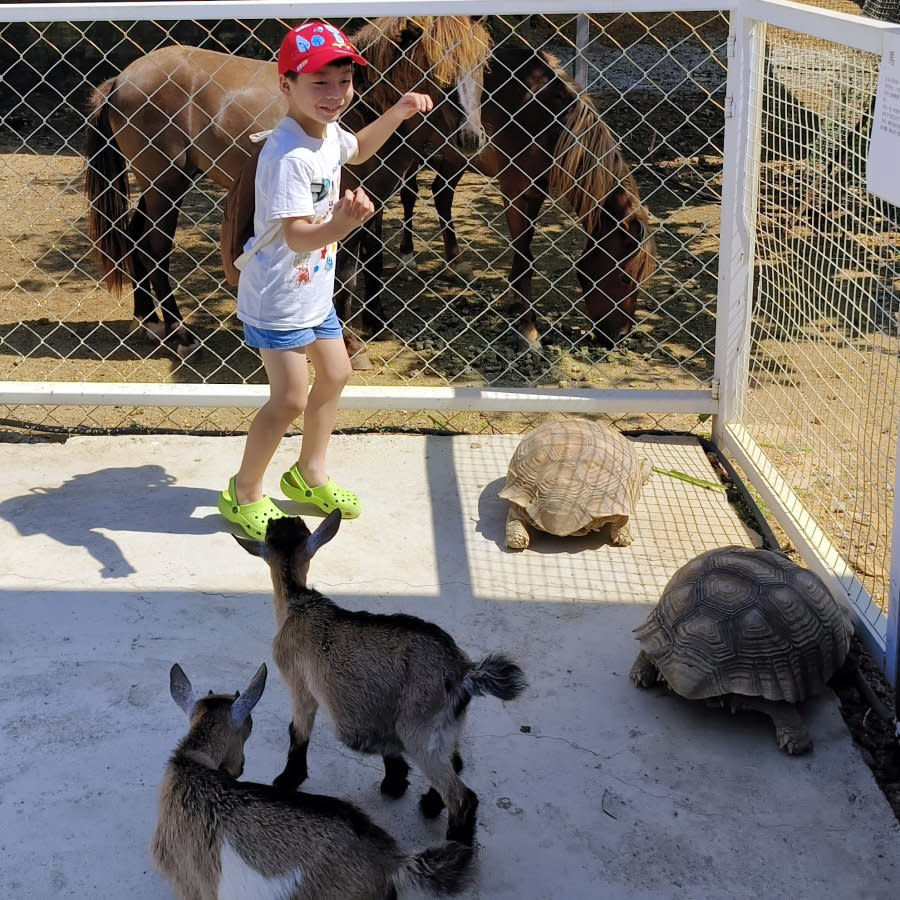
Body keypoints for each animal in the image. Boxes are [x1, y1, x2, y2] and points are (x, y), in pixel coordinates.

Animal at [84, 16, 492, 356]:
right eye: (435, 69)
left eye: (480, 65)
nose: (471, 138)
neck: (362, 106)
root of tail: (120, 80)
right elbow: (346, 269)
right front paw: (348, 339)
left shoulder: (374, 194)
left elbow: (372, 257)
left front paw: (375, 322)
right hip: (166, 184)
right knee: (155, 247)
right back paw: (178, 331)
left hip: (161, 186)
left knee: (136, 236)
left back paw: (148, 320)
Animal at [236, 512, 528, 844]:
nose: (279, 518)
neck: (298, 601)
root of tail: (464, 671)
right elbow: (389, 748)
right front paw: (395, 783)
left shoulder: (300, 685)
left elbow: (297, 733)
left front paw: (287, 780)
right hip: (446, 726)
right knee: (456, 763)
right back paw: (430, 804)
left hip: (418, 729)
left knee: (461, 796)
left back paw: (457, 842)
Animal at [390, 44, 656, 348]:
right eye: (625, 279)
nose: (618, 336)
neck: (545, 117)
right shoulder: (516, 190)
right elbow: (524, 257)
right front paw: (528, 329)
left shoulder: (536, 190)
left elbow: (524, 250)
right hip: (415, 144)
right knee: (410, 193)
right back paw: (407, 255)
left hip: (459, 153)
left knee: (442, 194)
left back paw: (456, 263)